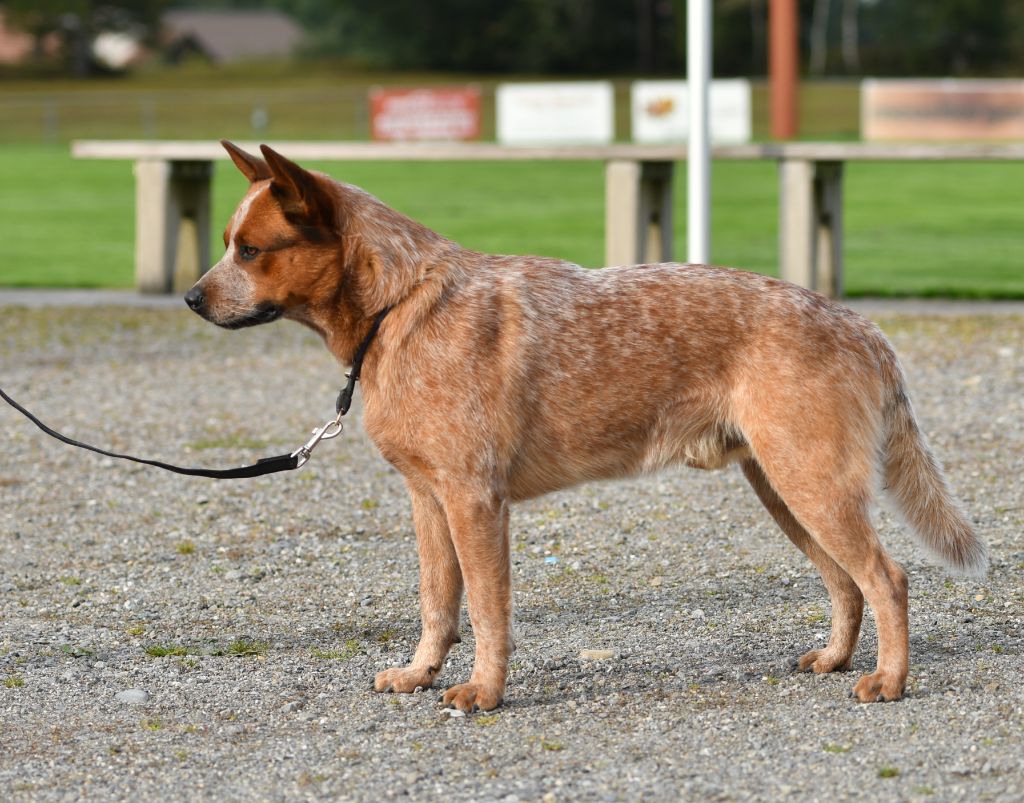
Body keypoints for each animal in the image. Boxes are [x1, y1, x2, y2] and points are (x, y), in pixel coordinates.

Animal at [184, 141, 983, 712]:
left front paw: (484, 692)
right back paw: (837, 659)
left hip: (812, 483)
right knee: (846, 582)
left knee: (887, 577)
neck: (398, 306)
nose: (192, 297)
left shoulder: (476, 501)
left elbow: (488, 608)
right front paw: (419, 673)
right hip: (786, 489)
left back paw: (889, 681)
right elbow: (438, 602)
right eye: (226, 240)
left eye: (249, 249)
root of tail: (861, 325)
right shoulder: (427, 500)